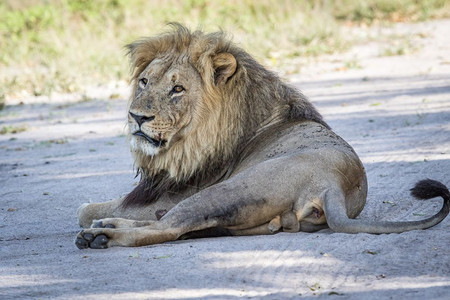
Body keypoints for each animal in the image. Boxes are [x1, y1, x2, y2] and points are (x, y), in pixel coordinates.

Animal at [75, 24, 448, 248]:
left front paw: (96, 217)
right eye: (144, 82)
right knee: (178, 226)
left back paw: (101, 235)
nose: (137, 117)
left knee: (166, 227)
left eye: (177, 89)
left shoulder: (174, 192)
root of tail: (335, 185)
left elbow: (83, 208)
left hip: (223, 191)